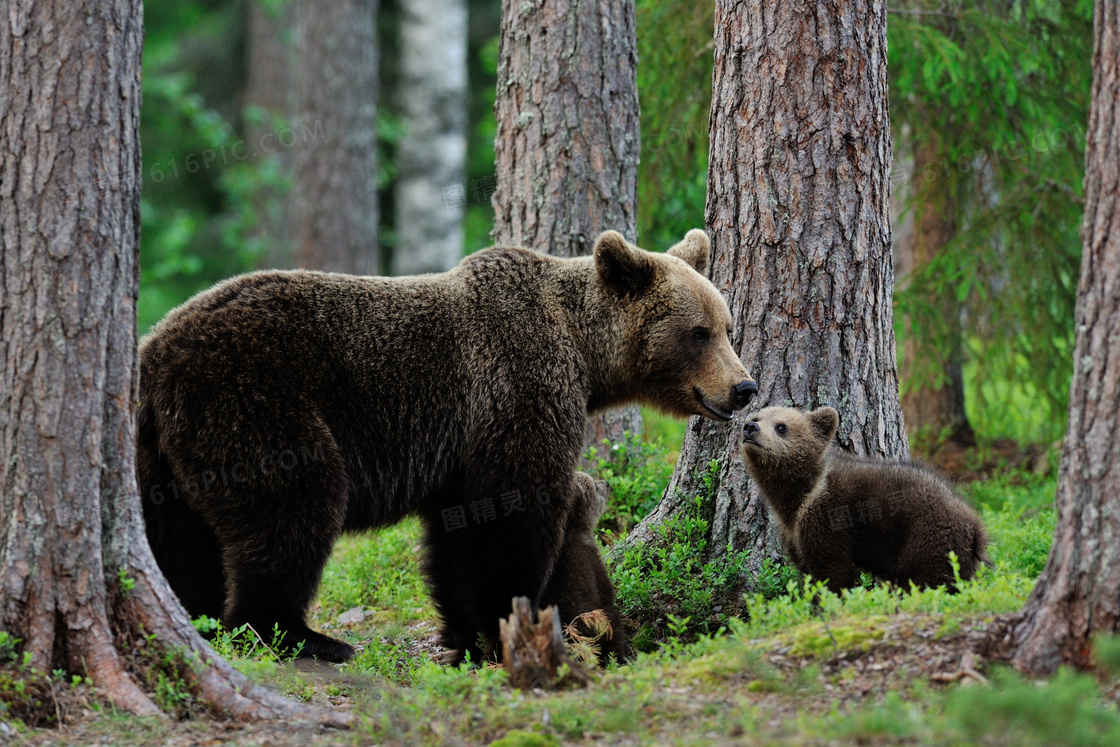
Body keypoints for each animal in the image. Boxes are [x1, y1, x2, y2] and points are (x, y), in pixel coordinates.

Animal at [135, 228, 757, 658]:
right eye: (698, 332)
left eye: (727, 326)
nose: (744, 387)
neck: (585, 357)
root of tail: (156, 347)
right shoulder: (518, 389)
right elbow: (513, 517)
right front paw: (508, 622)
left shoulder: (460, 451)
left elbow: (455, 535)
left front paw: (466, 635)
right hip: (256, 404)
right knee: (294, 509)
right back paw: (300, 635)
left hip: (163, 452)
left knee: (177, 538)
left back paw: (198, 617)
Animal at [743, 405, 990, 591]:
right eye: (756, 417)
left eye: (781, 426)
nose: (750, 427)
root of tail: (975, 527)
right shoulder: (793, 532)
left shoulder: (826, 519)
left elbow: (832, 570)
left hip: (927, 540)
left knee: (928, 582)